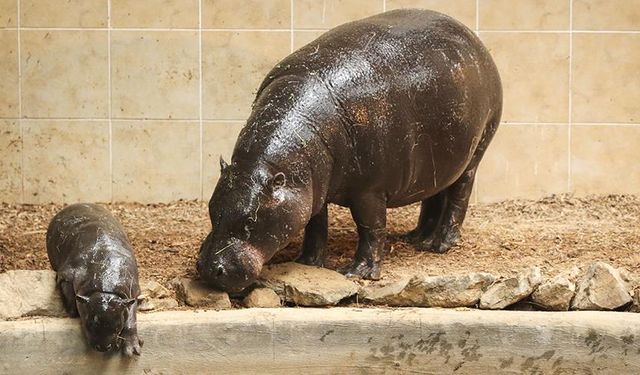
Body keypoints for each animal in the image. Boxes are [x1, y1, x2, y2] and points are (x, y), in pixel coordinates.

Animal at [46, 204, 144, 356]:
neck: (105, 288)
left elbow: (131, 317)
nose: (103, 347)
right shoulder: (67, 275)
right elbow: (70, 295)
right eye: (89, 324)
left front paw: (132, 350)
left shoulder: (132, 291)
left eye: (118, 326)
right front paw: (73, 312)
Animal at [198, 7, 502, 292]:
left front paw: (358, 273)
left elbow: (371, 228)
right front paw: (307, 262)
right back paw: (418, 239)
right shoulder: (312, 188)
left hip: (476, 151)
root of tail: (475, 40)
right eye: (212, 208)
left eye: (250, 220)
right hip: (440, 160)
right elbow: (315, 225)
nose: (210, 269)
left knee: (459, 196)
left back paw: (440, 245)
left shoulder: (369, 191)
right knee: (435, 193)